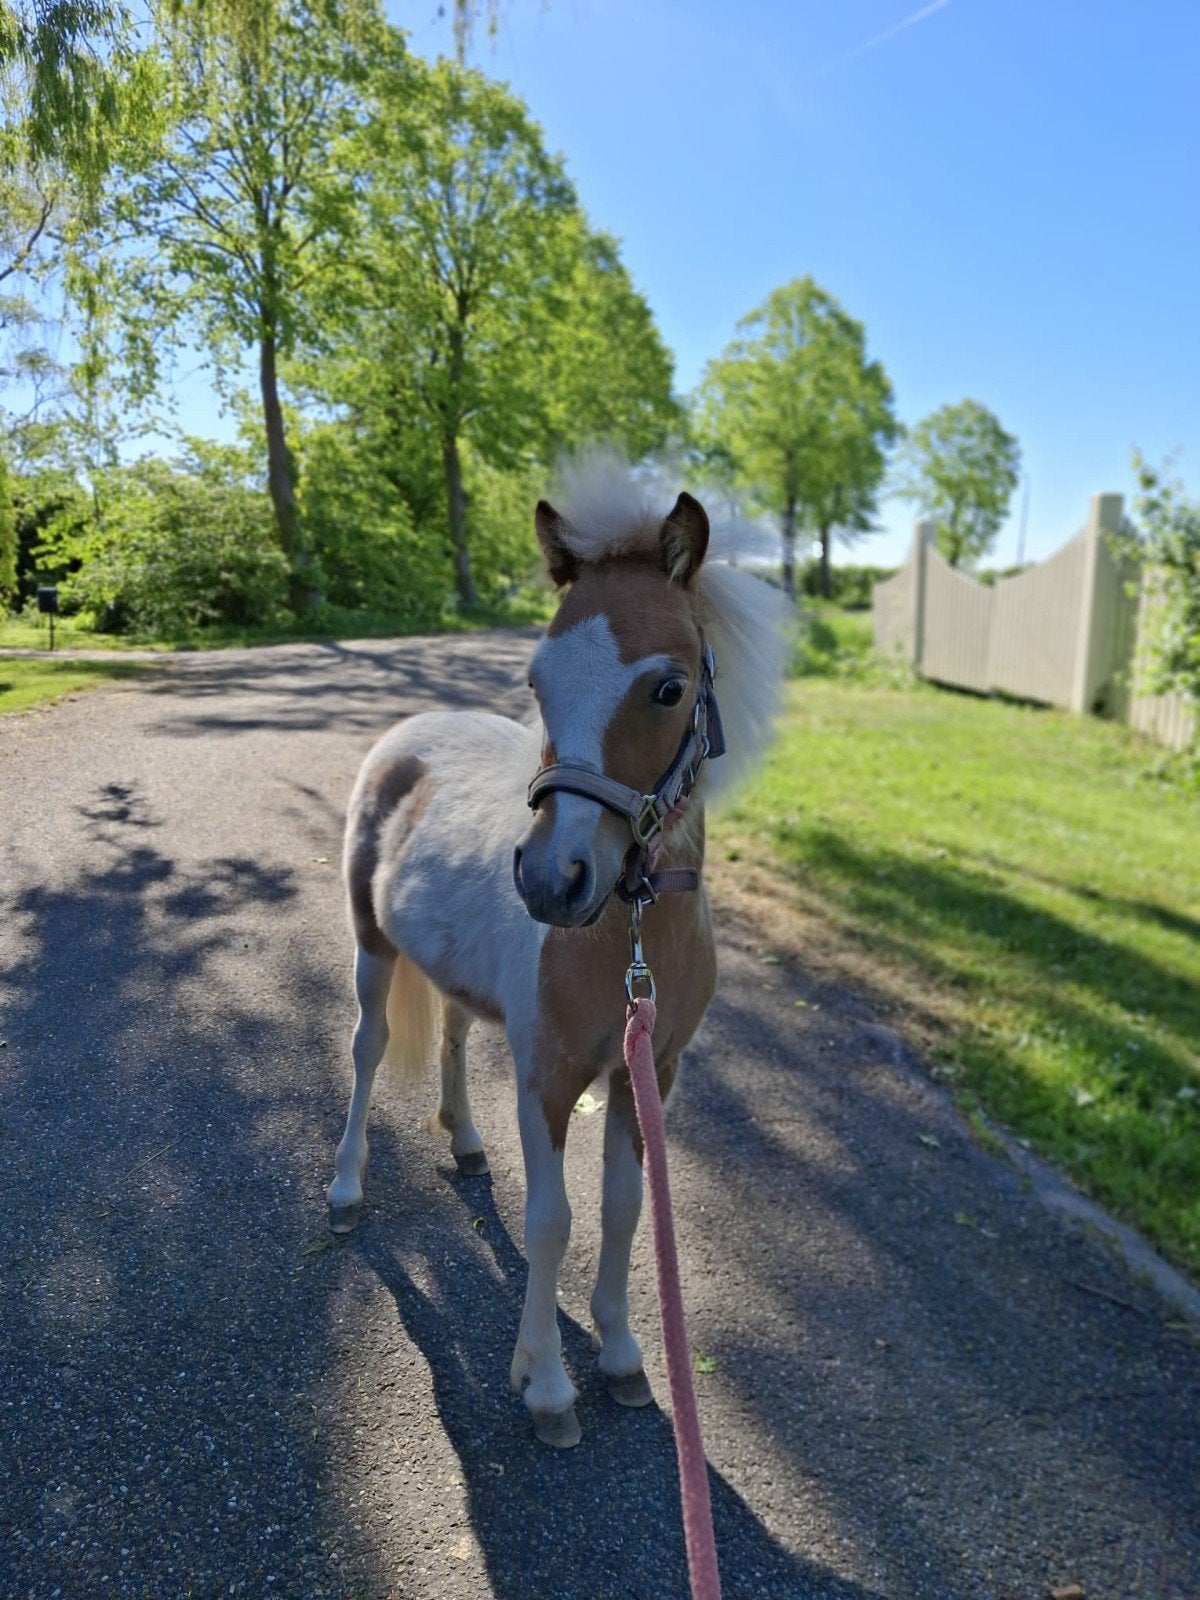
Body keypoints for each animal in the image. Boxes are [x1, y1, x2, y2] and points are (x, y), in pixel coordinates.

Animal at [326, 461, 787, 1448]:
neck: (632, 936)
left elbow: (621, 1208)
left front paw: (621, 1357)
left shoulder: (647, 1071)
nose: (550, 881)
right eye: (537, 682)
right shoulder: (547, 1077)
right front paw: (545, 1385)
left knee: (454, 1035)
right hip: (370, 947)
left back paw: (465, 1143)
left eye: (668, 688)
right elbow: (551, 1222)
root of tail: (407, 733)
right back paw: (344, 1189)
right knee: (367, 1051)